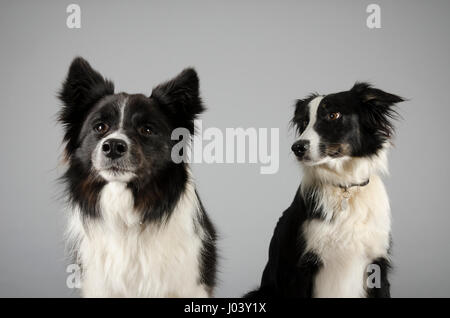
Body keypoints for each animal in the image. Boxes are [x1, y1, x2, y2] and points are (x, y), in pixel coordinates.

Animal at [248, 83, 406, 296]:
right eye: (304, 122)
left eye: (333, 115)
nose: (297, 148)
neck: (345, 187)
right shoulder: (300, 268)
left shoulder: (377, 263)